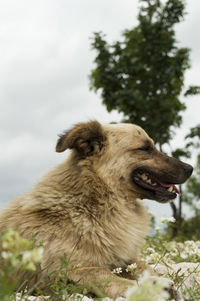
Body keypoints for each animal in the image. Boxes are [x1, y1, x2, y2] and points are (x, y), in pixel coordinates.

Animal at [0, 120, 194, 296]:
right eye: (146, 148)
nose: (190, 168)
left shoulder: (123, 259)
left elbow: (142, 265)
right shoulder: (63, 270)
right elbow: (105, 275)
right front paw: (152, 286)